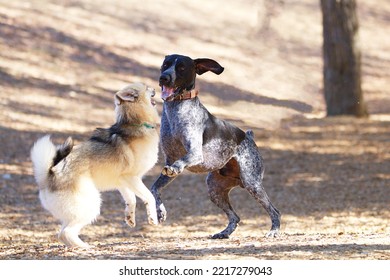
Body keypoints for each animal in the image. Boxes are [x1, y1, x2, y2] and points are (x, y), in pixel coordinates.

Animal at [29, 83, 159, 247]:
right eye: (147, 87)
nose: (155, 88)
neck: (134, 121)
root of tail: (48, 176)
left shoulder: (122, 181)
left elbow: (131, 199)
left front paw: (129, 216)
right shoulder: (132, 177)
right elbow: (149, 196)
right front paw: (152, 217)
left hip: (73, 212)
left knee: (61, 233)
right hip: (90, 205)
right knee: (66, 232)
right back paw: (85, 247)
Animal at [149, 53, 280, 237]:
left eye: (181, 67)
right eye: (166, 64)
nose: (164, 78)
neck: (176, 110)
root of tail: (248, 136)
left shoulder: (194, 153)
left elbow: (180, 162)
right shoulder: (168, 161)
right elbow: (154, 189)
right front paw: (160, 212)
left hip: (252, 183)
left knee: (275, 211)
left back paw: (274, 230)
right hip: (215, 189)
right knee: (235, 217)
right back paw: (224, 233)